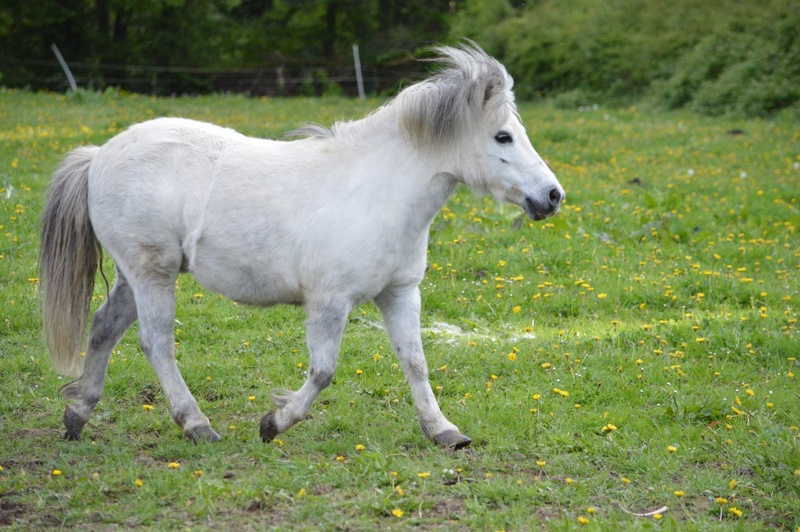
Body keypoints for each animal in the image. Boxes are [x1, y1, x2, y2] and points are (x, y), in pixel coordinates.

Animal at [39, 44, 564, 448]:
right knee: (156, 343)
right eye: (503, 136)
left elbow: (415, 362)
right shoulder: (330, 302)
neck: (378, 190)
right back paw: (197, 426)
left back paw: (78, 417)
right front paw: (274, 423)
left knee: (104, 329)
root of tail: (98, 156)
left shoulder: (399, 293)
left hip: (136, 275)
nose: (553, 196)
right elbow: (324, 371)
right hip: (153, 274)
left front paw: (443, 431)